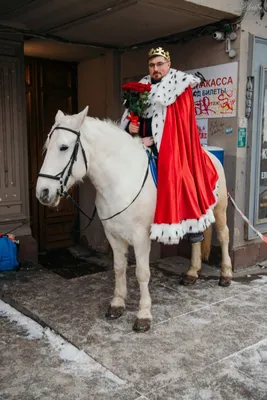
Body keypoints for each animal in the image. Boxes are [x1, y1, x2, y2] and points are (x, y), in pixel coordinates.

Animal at [36, 106, 233, 332]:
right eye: (47, 146)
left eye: (64, 147)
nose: (42, 192)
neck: (121, 180)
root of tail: (210, 155)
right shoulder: (112, 234)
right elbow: (119, 268)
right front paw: (117, 303)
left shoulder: (140, 237)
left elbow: (141, 273)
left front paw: (143, 315)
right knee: (196, 239)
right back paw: (192, 272)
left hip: (220, 209)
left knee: (224, 235)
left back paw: (226, 275)